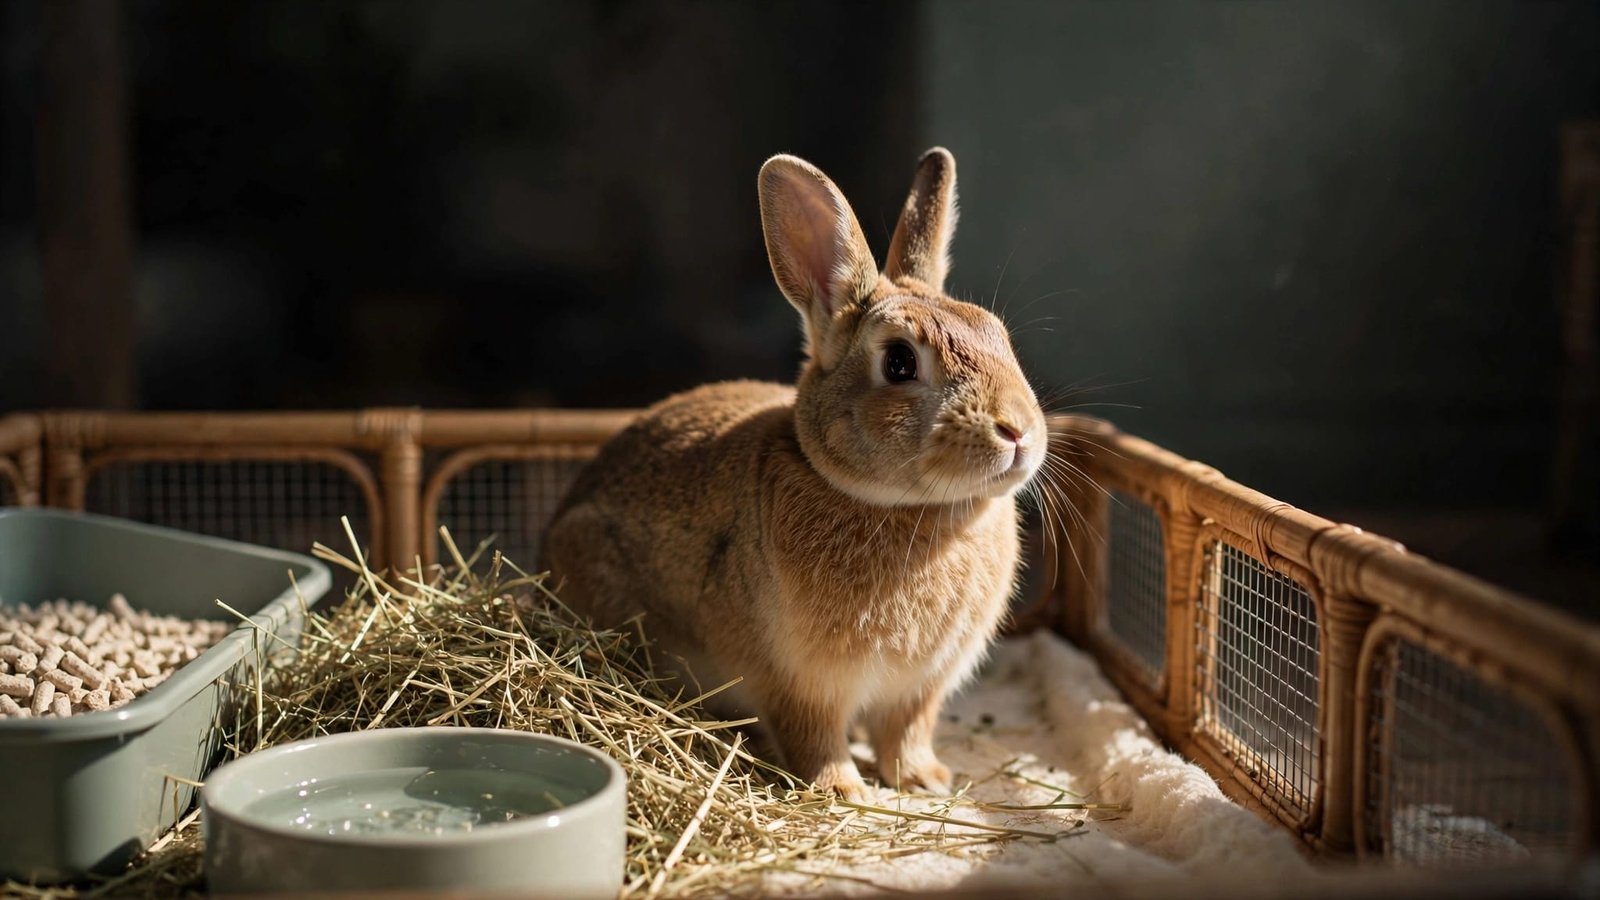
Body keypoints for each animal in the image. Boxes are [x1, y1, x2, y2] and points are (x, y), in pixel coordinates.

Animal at [542, 147, 1048, 800]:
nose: (1017, 431)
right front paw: (844, 791)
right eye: (899, 362)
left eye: (998, 335)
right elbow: (814, 738)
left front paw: (926, 780)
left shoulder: (920, 687)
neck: (906, 508)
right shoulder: (799, 682)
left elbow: (907, 731)